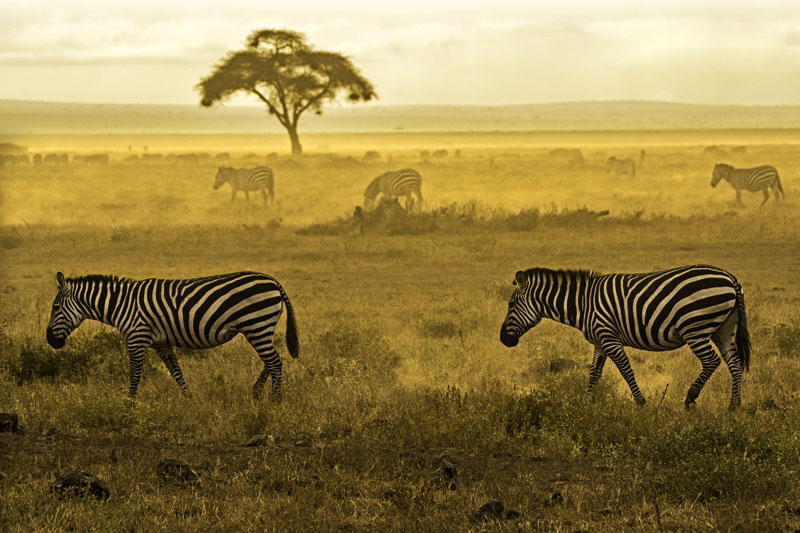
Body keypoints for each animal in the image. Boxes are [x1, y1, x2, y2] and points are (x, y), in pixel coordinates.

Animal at [45, 270, 300, 400]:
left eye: (55, 308)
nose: (50, 340)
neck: (121, 304)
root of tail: (273, 280)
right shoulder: (161, 342)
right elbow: (176, 372)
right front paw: (189, 400)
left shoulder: (137, 338)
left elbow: (135, 374)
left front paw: (129, 405)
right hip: (259, 327)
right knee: (272, 360)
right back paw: (256, 392)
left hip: (257, 324)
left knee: (275, 362)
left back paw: (275, 401)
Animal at [500, 264, 752, 410]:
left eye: (511, 304)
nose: (503, 340)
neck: (583, 304)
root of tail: (730, 277)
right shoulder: (600, 342)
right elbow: (594, 373)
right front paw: (587, 403)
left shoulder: (608, 336)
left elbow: (625, 369)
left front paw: (641, 403)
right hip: (724, 327)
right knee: (734, 362)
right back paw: (734, 405)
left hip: (695, 327)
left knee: (711, 361)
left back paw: (690, 399)